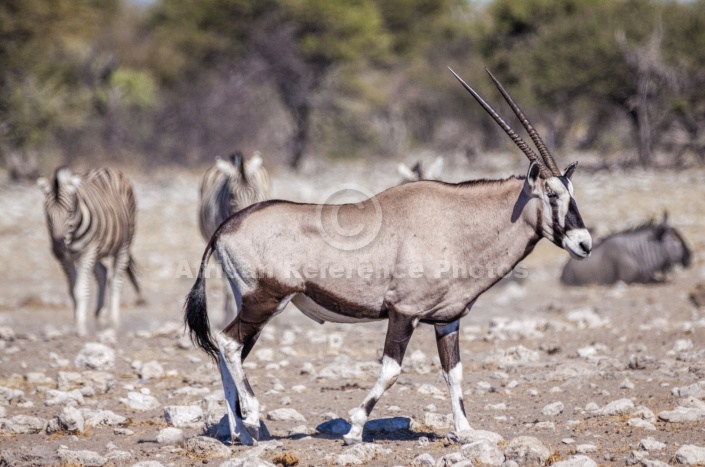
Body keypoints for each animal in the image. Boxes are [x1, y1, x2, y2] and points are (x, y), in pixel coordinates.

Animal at [38, 167, 142, 336]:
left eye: (69, 212)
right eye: (48, 215)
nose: (58, 249)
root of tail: (107, 168)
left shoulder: (87, 252)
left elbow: (81, 289)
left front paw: (80, 328)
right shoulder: (66, 259)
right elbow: (72, 291)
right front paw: (77, 321)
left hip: (123, 244)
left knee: (116, 281)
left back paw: (114, 322)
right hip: (97, 251)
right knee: (102, 272)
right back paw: (99, 317)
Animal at [560, 212, 692, 286]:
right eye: (675, 240)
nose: (689, 256)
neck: (637, 252)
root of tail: (564, 270)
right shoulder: (631, 279)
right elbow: (655, 280)